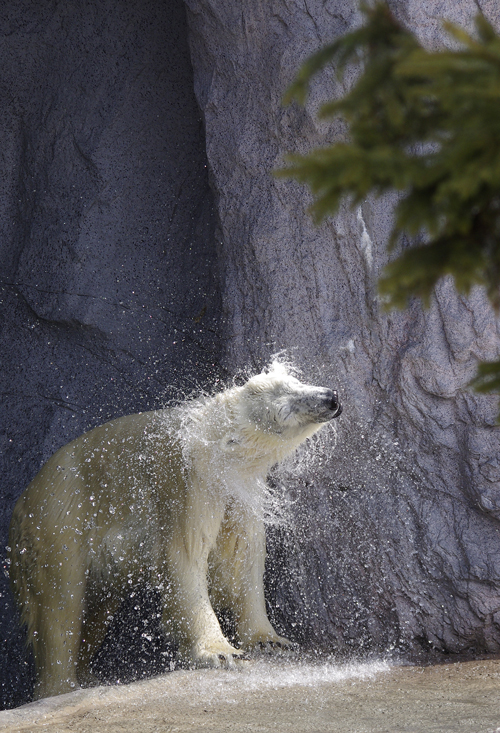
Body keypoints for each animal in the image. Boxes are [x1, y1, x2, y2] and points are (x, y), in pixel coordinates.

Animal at [9, 360, 342, 696]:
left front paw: (270, 640)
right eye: (285, 411)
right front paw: (222, 651)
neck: (214, 447)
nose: (331, 398)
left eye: (294, 382)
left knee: (97, 607)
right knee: (60, 604)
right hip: (61, 518)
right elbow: (187, 558)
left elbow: (247, 556)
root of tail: (22, 502)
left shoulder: (240, 494)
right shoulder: (192, 487)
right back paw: (61, 686)